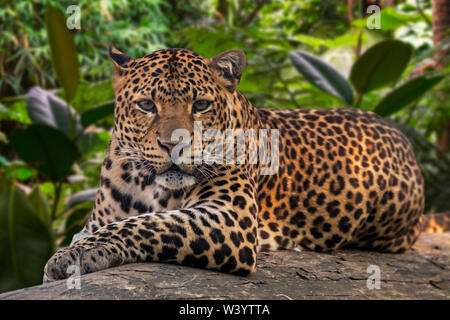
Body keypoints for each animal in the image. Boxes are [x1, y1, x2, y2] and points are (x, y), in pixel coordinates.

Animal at [41, 46, 446, 282]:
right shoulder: (99, 217)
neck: (147, 182)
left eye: (201, 105)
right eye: (146, 105)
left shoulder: (228, 217)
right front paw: (72, 250)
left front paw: (75, 255)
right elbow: (114, 224)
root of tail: (399, 134)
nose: (174, 145)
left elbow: (148, 223)